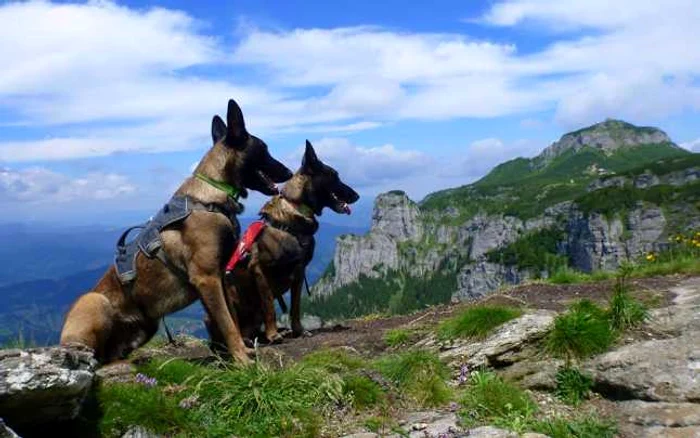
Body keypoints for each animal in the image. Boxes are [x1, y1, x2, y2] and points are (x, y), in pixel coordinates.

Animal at [57, 100, 292, 366]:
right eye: (264, 149)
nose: (289, 172)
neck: (212, 193)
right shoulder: (206, 279)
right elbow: (227, 323)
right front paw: (242, 360)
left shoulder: (219, 278)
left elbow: (230, 317)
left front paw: (240, 351)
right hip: (94, 301)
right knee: (90, 357)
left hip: (147, 326)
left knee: (109, 356)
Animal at [206, 140, 360, 350]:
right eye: (334, 176)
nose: (357, 195)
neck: (296, 209)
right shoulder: (260, 270)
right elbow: (269, 306)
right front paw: (273, 335)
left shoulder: (299, 271)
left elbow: (295, 307)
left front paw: (298, 331)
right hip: (228, 296)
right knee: (231, 329)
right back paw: (249, 339)